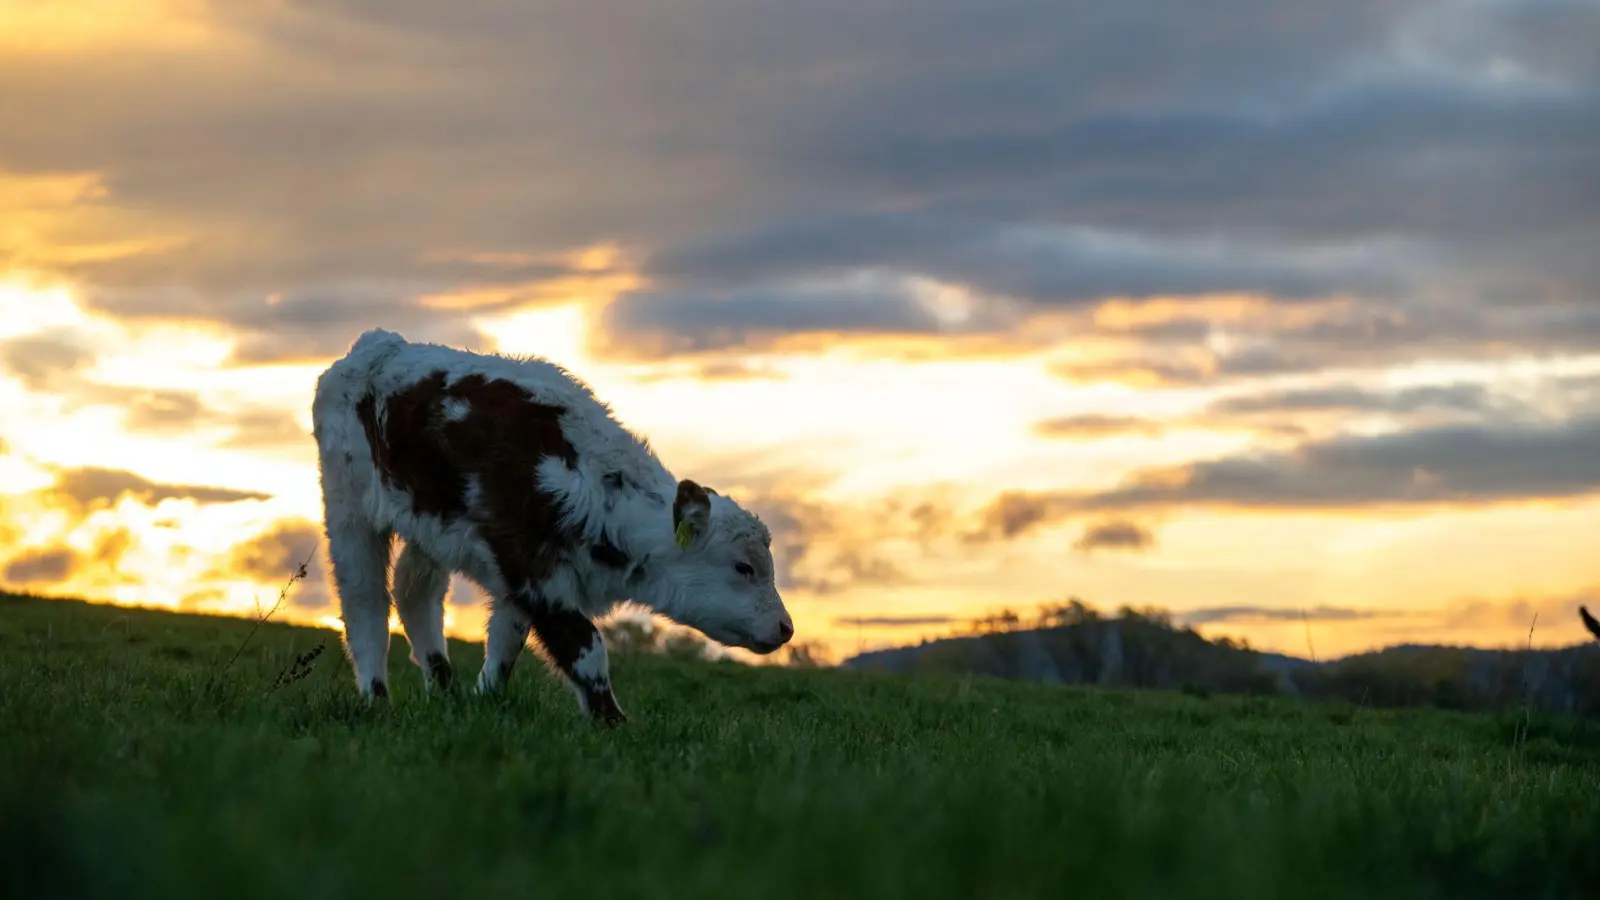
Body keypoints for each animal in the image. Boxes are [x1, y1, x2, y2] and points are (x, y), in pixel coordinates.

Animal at [307, 328, 793, 720]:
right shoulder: (533, 572)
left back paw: (445, 691)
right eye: (743, 567)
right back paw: (377, 699)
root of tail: (378, 344)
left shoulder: (519, 582)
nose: (786, 628)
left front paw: (484, 703)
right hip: (347, 505)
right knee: (365, 602)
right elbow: (587, 649)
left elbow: (505, 643)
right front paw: (614, 724)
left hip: (427, 526)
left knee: (415, 593)